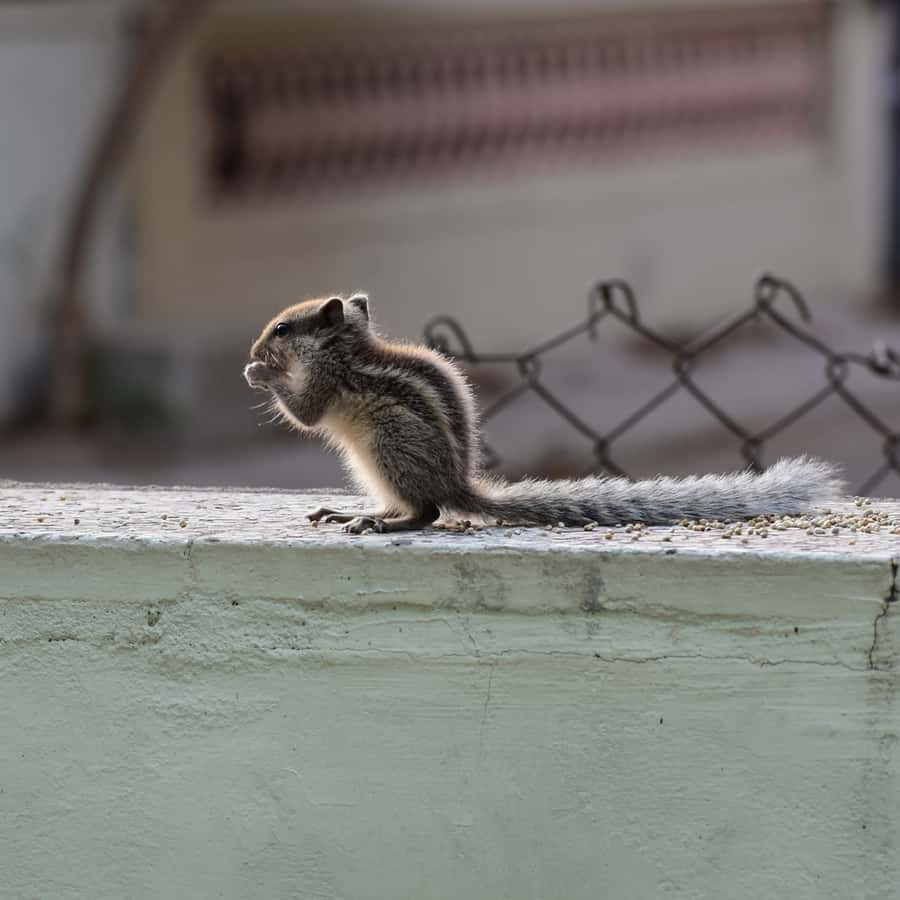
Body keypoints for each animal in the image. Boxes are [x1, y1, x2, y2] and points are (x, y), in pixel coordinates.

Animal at [244, 296, 844, 536]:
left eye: (282, 329)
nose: (253, 347)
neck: (347, 349)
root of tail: (458, 484)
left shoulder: (326, 382)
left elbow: (305, 413)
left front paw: (260, 374)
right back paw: (351, 511)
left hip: (389, 444)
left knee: (428, 513)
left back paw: (377, 522)